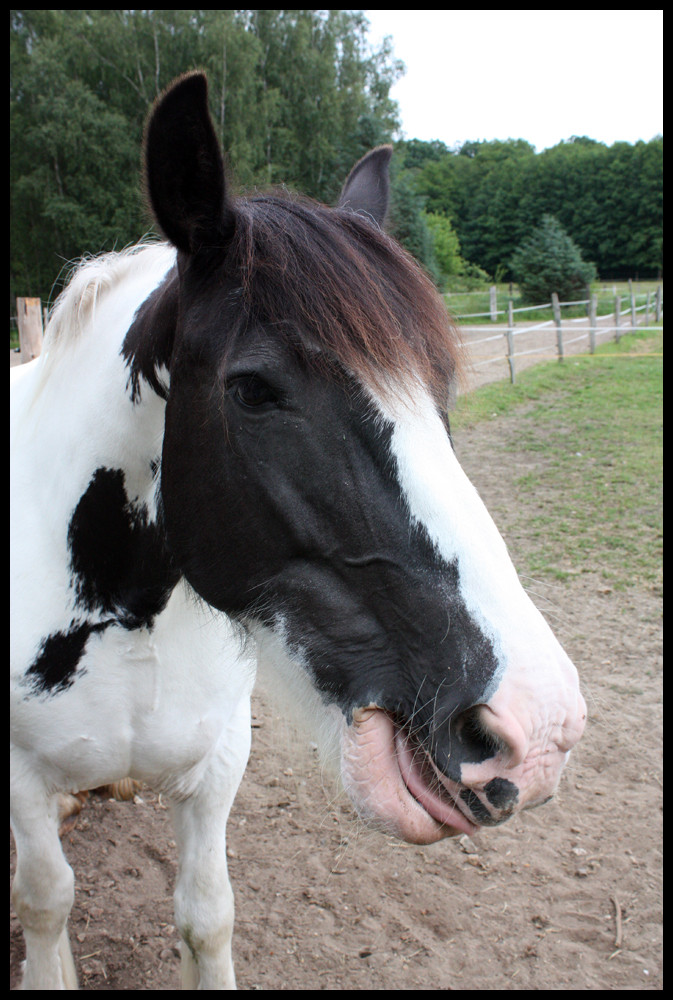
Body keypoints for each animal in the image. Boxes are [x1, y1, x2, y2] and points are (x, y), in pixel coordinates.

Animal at [11, 74, 588, 988]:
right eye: (253, 390)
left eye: (438, 386)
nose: (536, 731)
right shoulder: (21, 784)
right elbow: (45, 902)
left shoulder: (215, 771)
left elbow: (206, 916)